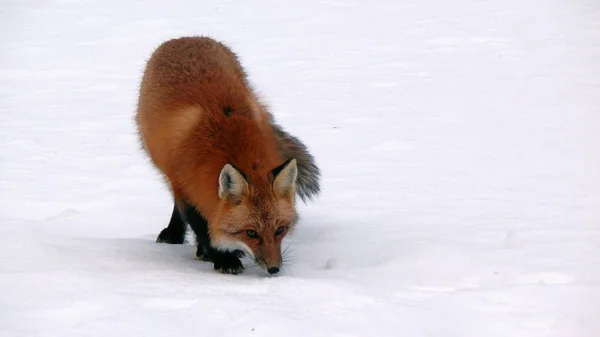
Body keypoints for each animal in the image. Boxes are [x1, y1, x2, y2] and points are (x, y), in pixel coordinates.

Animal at [135, 36, 318, 272]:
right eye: (251, 233)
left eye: (280, 230)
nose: (274, 269)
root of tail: (184, 37)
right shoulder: (185, 186)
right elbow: (201, 226)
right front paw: (222, 258)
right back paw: (175, 234)